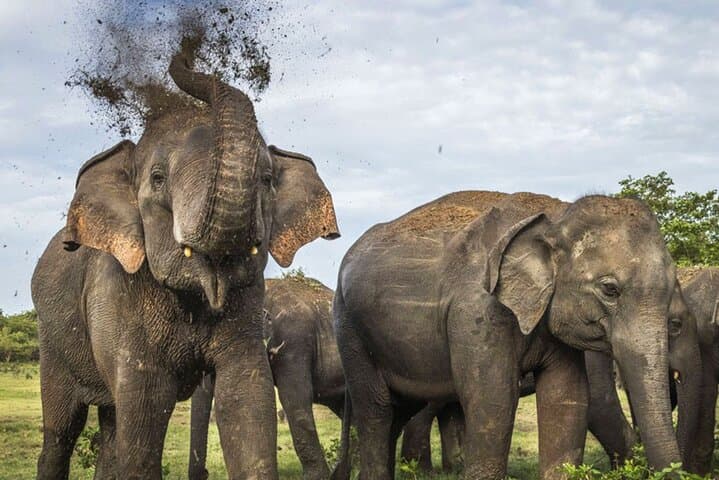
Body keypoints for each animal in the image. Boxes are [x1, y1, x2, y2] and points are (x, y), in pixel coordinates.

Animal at [333, 190, 682, 480]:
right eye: (610, 289)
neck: (556, 215)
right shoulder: (478, 310)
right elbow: (494, 401)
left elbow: (567, 398)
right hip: (349, 329)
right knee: (376, 411)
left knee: (398, 411)